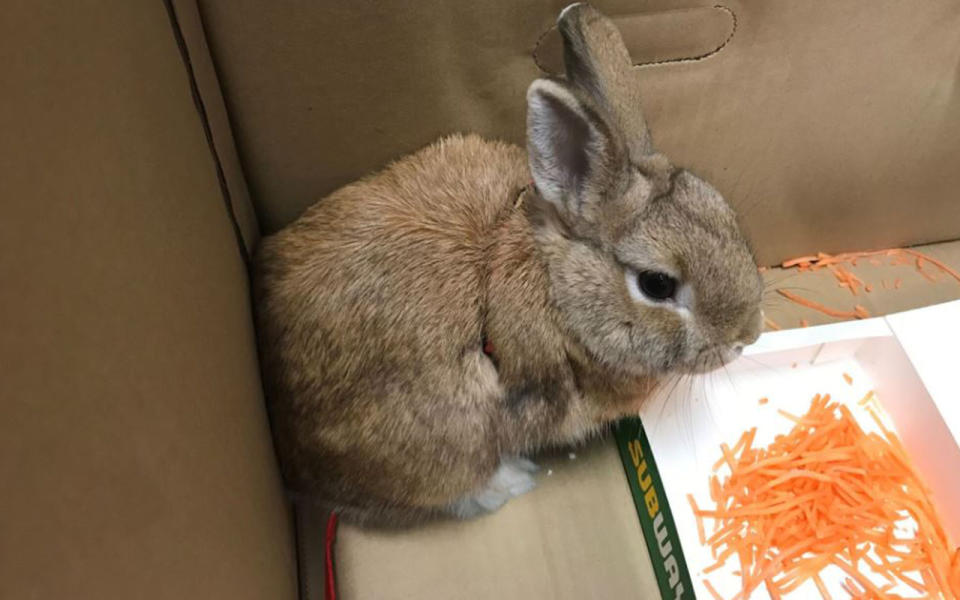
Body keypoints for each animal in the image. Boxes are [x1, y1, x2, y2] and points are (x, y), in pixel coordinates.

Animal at [255, 2, 764, 524]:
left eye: (725, 215)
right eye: (657, 284)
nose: (746, 336)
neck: (557, 289)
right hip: (436, 437)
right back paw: (511, 480)